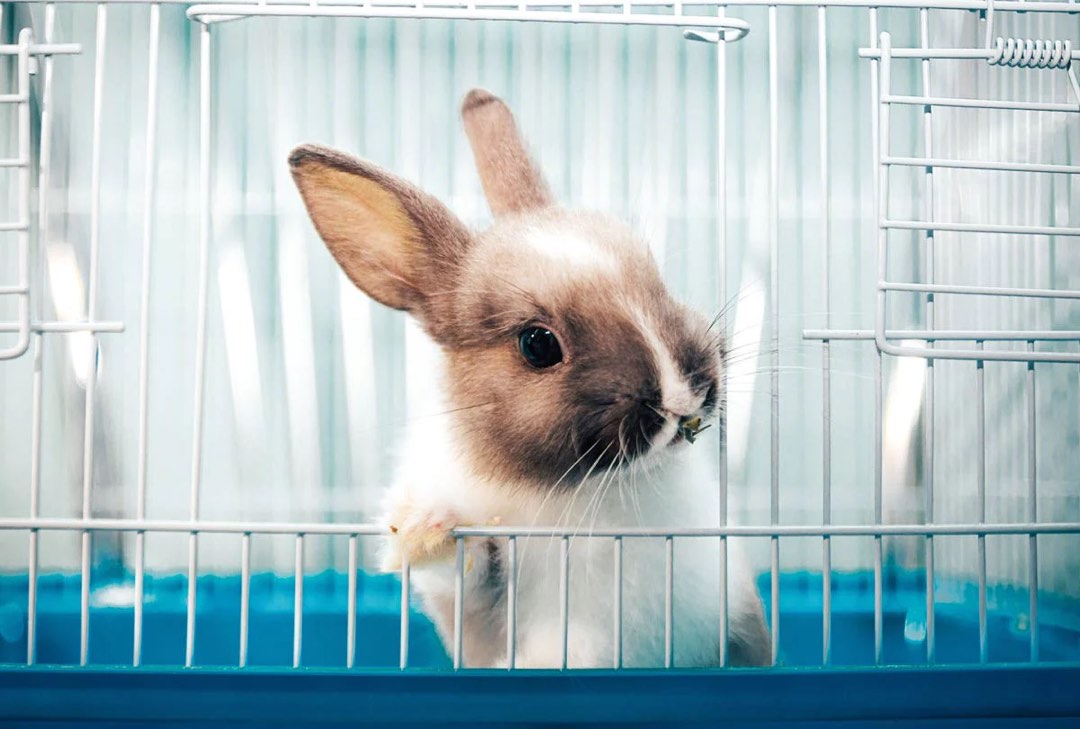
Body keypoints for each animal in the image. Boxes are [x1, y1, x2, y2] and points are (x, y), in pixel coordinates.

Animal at [288, 88, 771, 669]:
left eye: (658, 281)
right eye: (538, 344)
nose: (683, 394)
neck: (579, 488)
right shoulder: (483, 598)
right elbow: (467, 572)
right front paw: (426, 528)